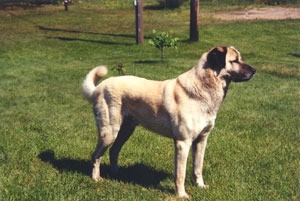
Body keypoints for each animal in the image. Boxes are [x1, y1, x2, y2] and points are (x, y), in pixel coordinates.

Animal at [81, 45, 255, 198]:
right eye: (234, 60)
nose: (254, 70)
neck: (203, 87)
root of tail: (99, 88)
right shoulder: (183, 143)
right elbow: (180, 174)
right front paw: (182, 195)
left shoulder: (201, 140)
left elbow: (198, 167)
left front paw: (200, 186)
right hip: (110, 131)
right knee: (96, 155)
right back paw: (96, 178)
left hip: (125, 130)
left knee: (113, 151)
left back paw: (117, 174)